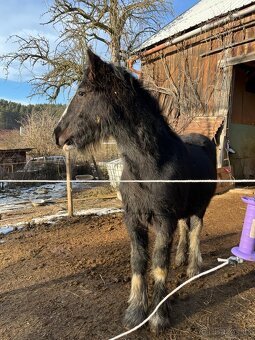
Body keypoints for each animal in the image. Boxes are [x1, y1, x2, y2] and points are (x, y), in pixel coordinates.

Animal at [54, 49, 217, 334]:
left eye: (82, 93)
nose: (58, 134)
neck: (149, 166)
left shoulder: (164, 220)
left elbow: (159, 265)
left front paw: (158, 317)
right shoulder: (132, 219)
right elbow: (138, 262)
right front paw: (135, 312)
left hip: (200, 205)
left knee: (195, 229)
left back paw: (193, 268)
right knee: (185, 227)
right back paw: (181, 258)